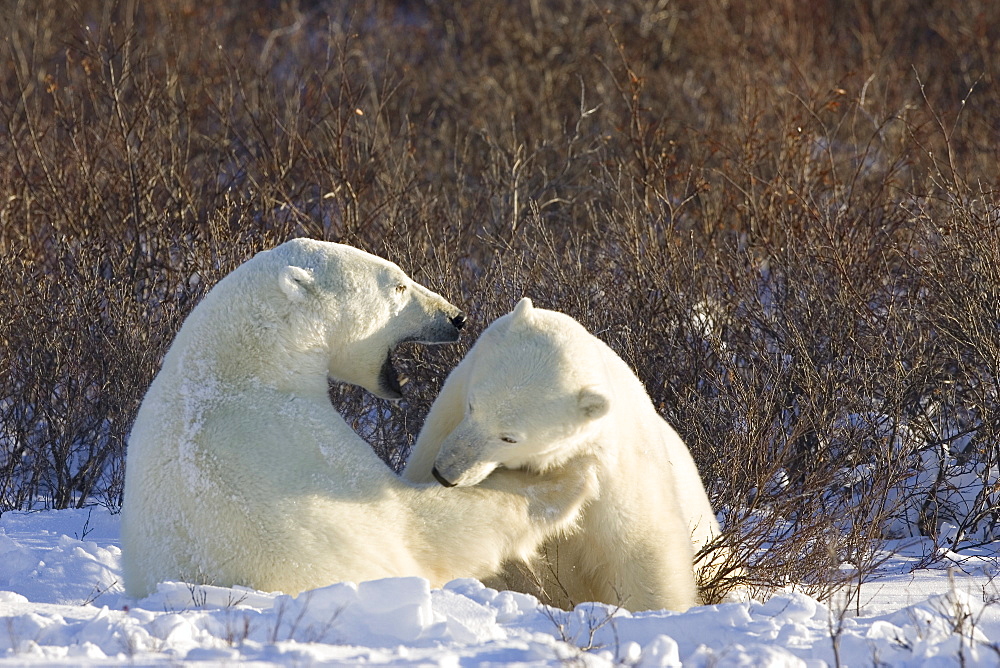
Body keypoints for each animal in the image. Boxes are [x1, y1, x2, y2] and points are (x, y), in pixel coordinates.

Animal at [121, 243, 596, 596]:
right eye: (399, 284)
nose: (456, 317)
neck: (240, 367)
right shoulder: (307, 447)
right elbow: (420, 524)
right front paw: (570, 477)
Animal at [402, 298, 724, 612]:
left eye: (509, 437)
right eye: (473, 405)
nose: (445, 474)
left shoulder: (618, 476)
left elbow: (643, 552)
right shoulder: (445, 420)